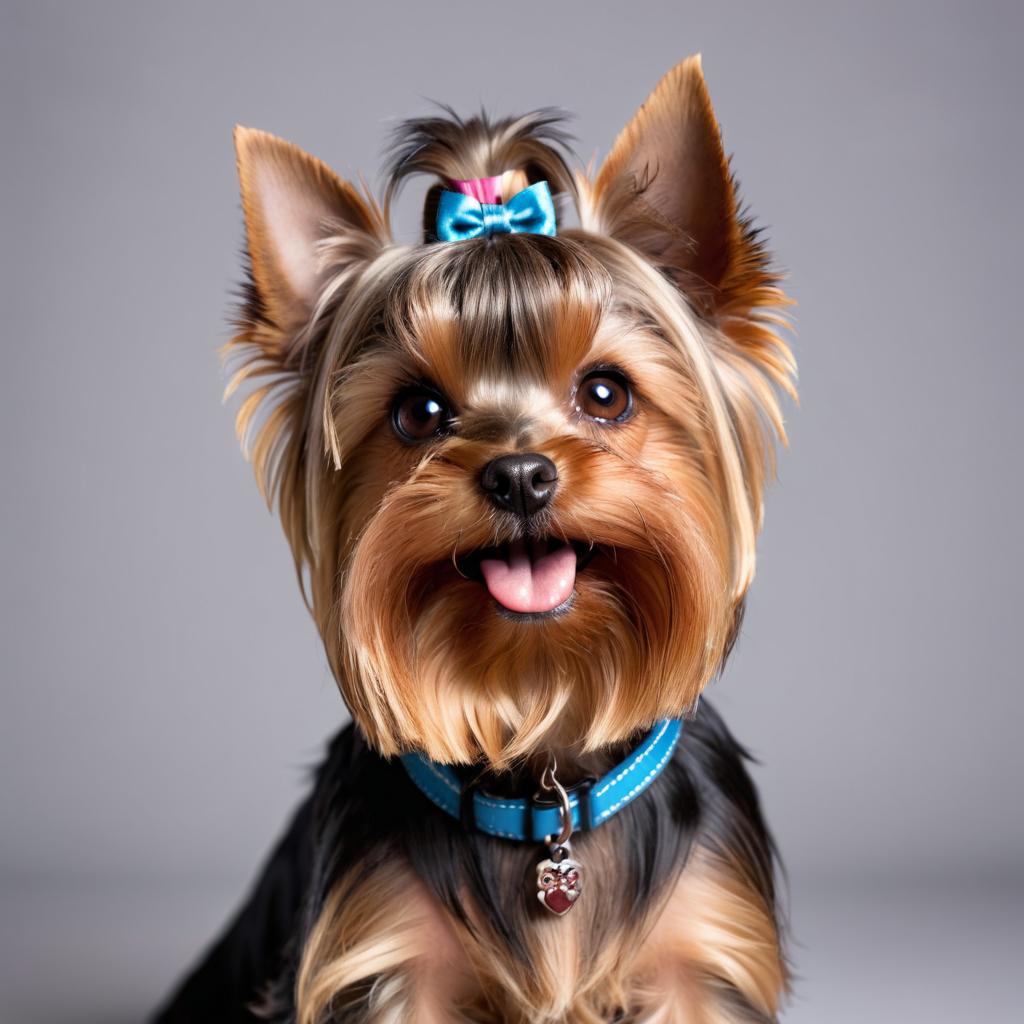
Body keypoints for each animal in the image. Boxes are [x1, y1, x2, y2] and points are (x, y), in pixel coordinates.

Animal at [155, 56, 794, 1024]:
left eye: (605, 393)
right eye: (418, 412)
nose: (520, 476)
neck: (543, 775)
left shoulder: (703, 961)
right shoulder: (388, 963)